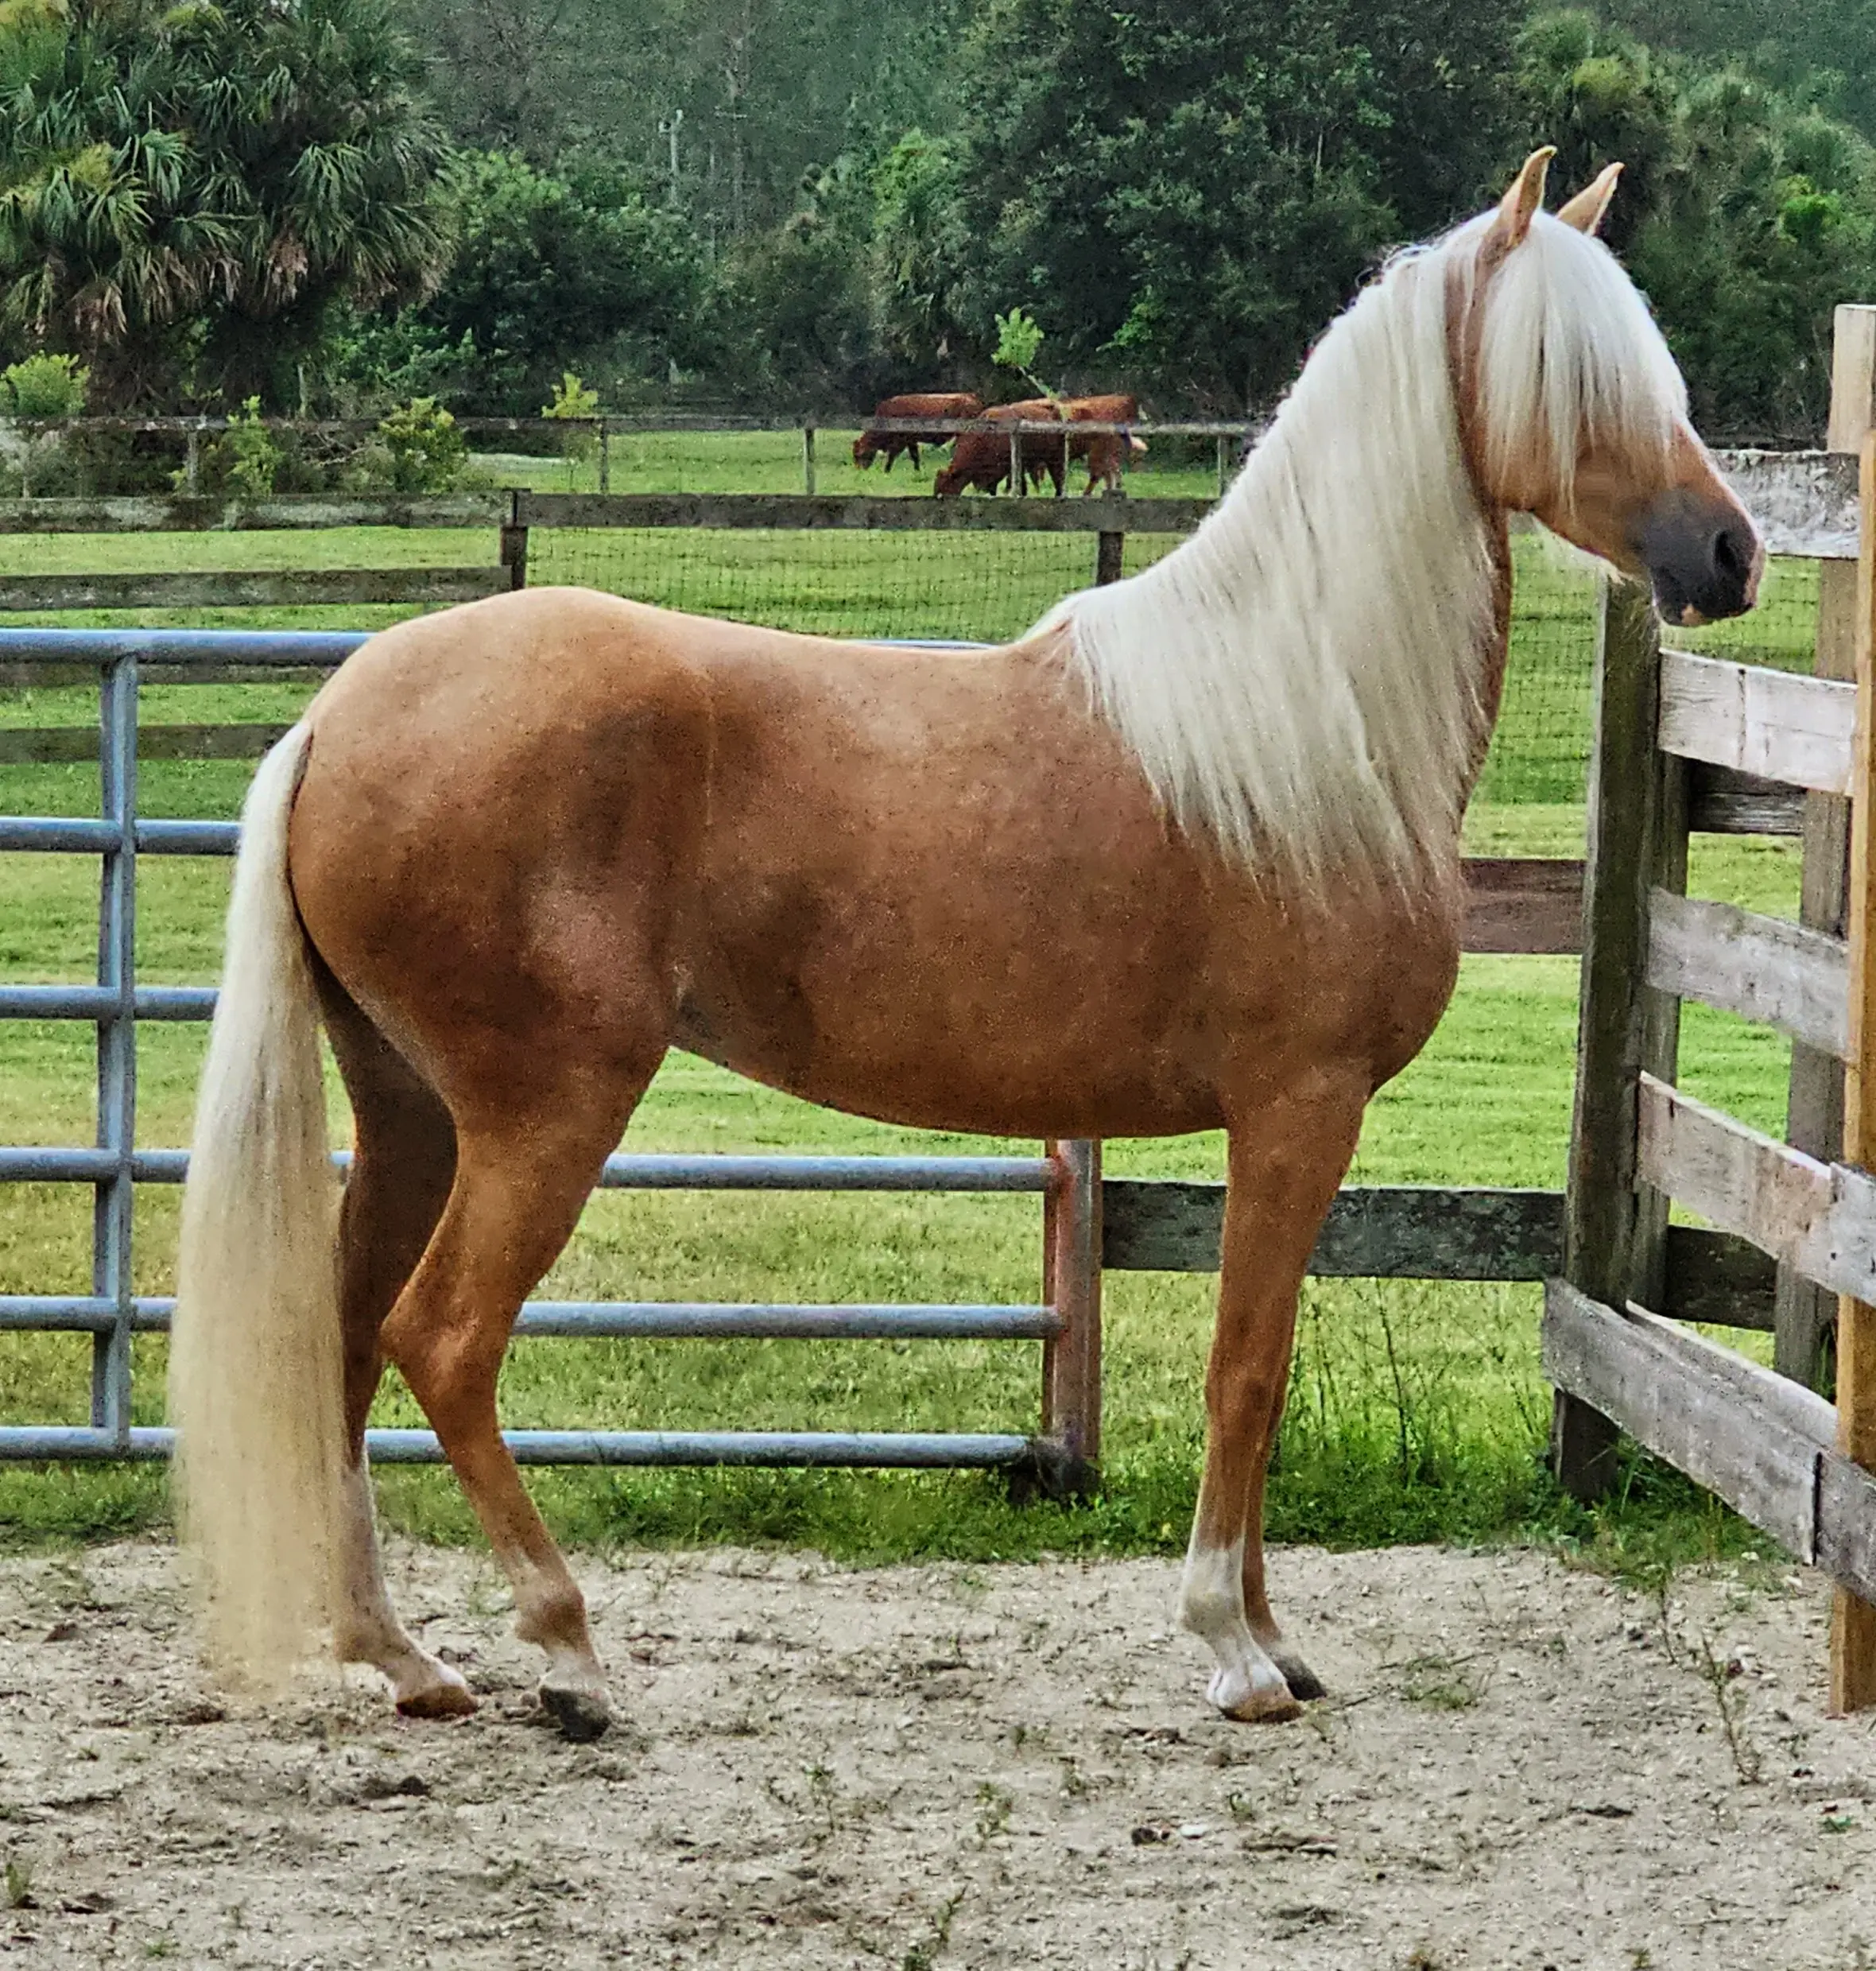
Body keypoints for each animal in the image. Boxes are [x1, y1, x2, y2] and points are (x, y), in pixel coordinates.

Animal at [851, 393, 984, 473]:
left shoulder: (900, 441)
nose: (859, 470)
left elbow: (892, 455)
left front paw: (886, 471)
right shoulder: (911, 441)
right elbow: (915, 456)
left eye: (858, 455)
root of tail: (972, 397)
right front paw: (917, 471)